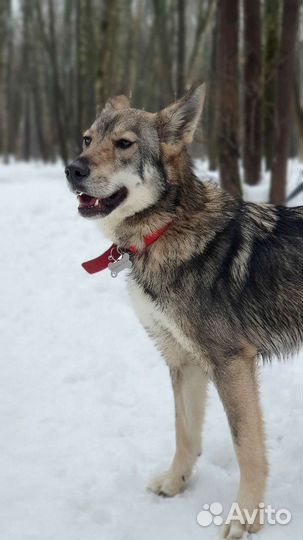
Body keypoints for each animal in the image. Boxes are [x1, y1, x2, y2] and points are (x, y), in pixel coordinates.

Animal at [65, 84, 302, 536]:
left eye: (124, 144)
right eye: (87, 139)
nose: (72, 170)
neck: (164, 230)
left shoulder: (231, 363)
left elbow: (247, 448)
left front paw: (244, 517)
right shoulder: (182, 360)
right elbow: (185, 433)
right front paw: (176, 484)